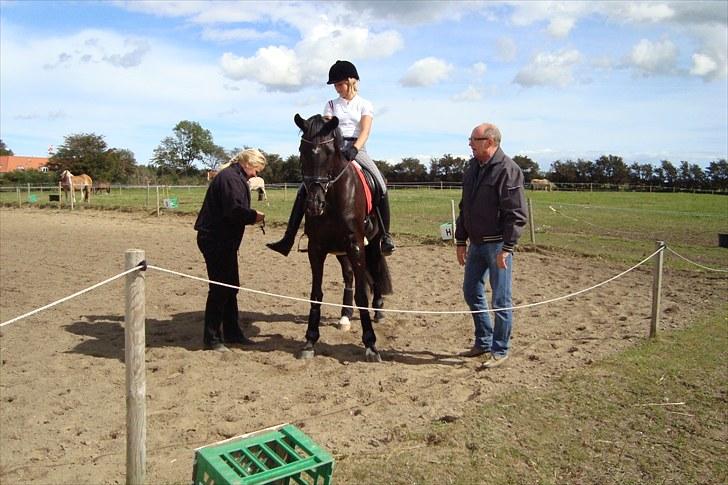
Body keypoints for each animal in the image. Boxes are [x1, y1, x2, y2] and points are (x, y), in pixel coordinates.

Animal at [292, 113, 392, 362]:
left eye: (329, 153)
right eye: (301, 150)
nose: (314, 204)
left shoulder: (356, 245)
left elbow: (362, 294)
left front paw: (371, 345)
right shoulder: (316, 248)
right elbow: (316, 293)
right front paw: (309, 341)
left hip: (373, 243)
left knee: (375, 269)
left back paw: (379, 309)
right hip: (340, 250)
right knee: (349, 276)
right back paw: (345, 315)